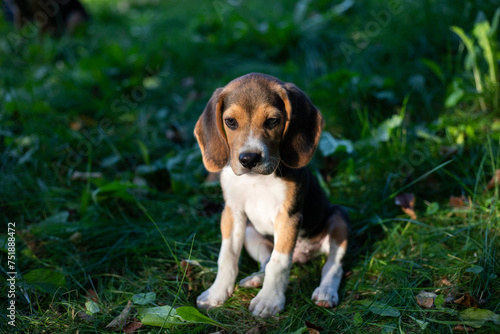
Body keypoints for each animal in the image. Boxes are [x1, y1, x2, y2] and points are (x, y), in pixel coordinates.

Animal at [194, 73, 348, 318]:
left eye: (272, 121)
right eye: (231, 122)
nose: (249, 159)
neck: (257, 180)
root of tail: (302, 254)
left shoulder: (288, 217)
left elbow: (279, 262)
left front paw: (269, 300)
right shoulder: (232, 213)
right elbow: (227, 256)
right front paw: (216, 293)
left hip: (339, 219)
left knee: (333, 265)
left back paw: (326, 292)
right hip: (251, 233)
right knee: (265, 261)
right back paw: (255, 279)